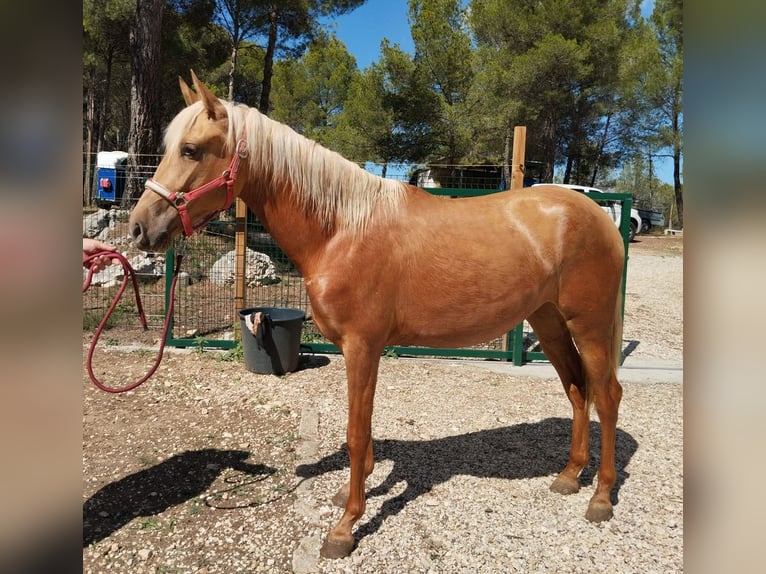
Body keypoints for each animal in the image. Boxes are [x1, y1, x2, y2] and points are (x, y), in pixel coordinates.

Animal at [129, 71, 628, 560]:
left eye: (190, 149)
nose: (139, 228)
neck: (341, 229)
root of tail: (598, 214)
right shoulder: (358, 349)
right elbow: (364, 431)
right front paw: (354, 494)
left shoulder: (362, 346)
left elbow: (355, 432)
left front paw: (345, 526)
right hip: (549, 321)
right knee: (576, 388)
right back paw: (569, 476)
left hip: (590, 325)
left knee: (606, 395)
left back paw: (601, 497)